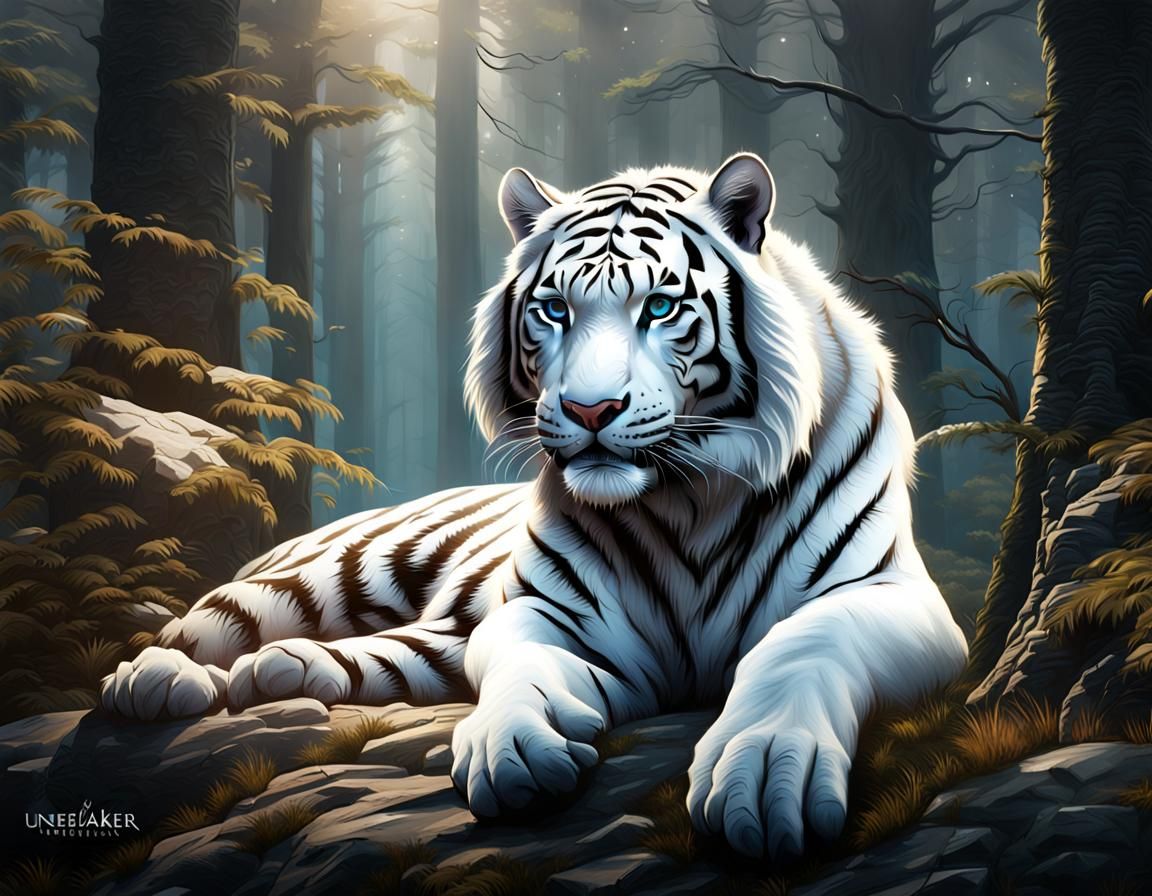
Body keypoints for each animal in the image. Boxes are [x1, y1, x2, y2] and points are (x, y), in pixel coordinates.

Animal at [101, 153, 968, 859]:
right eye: (554, 310)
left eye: (660, 308)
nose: (590, 409)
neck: (688, 496)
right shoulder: (551, 611)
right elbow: (523, 663)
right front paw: (514, 747)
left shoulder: (895, 599)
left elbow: (800, 644)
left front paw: (763, 770)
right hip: (309, 579)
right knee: (200, 627)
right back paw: (154, 681)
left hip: (419, 642)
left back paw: (275, 673)